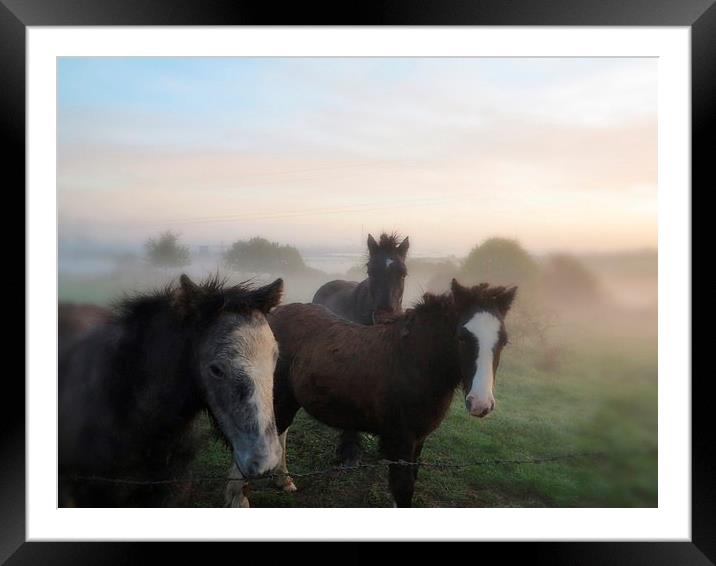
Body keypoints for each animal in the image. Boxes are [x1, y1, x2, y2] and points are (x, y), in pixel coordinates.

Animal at [228, 282, 516, 508]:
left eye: (503, 341)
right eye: (462, 337)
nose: (480, 403)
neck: (412, 362)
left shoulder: (418, 441)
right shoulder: (400, 441)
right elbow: (403, 491)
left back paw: (283, 481)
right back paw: (238, 498)